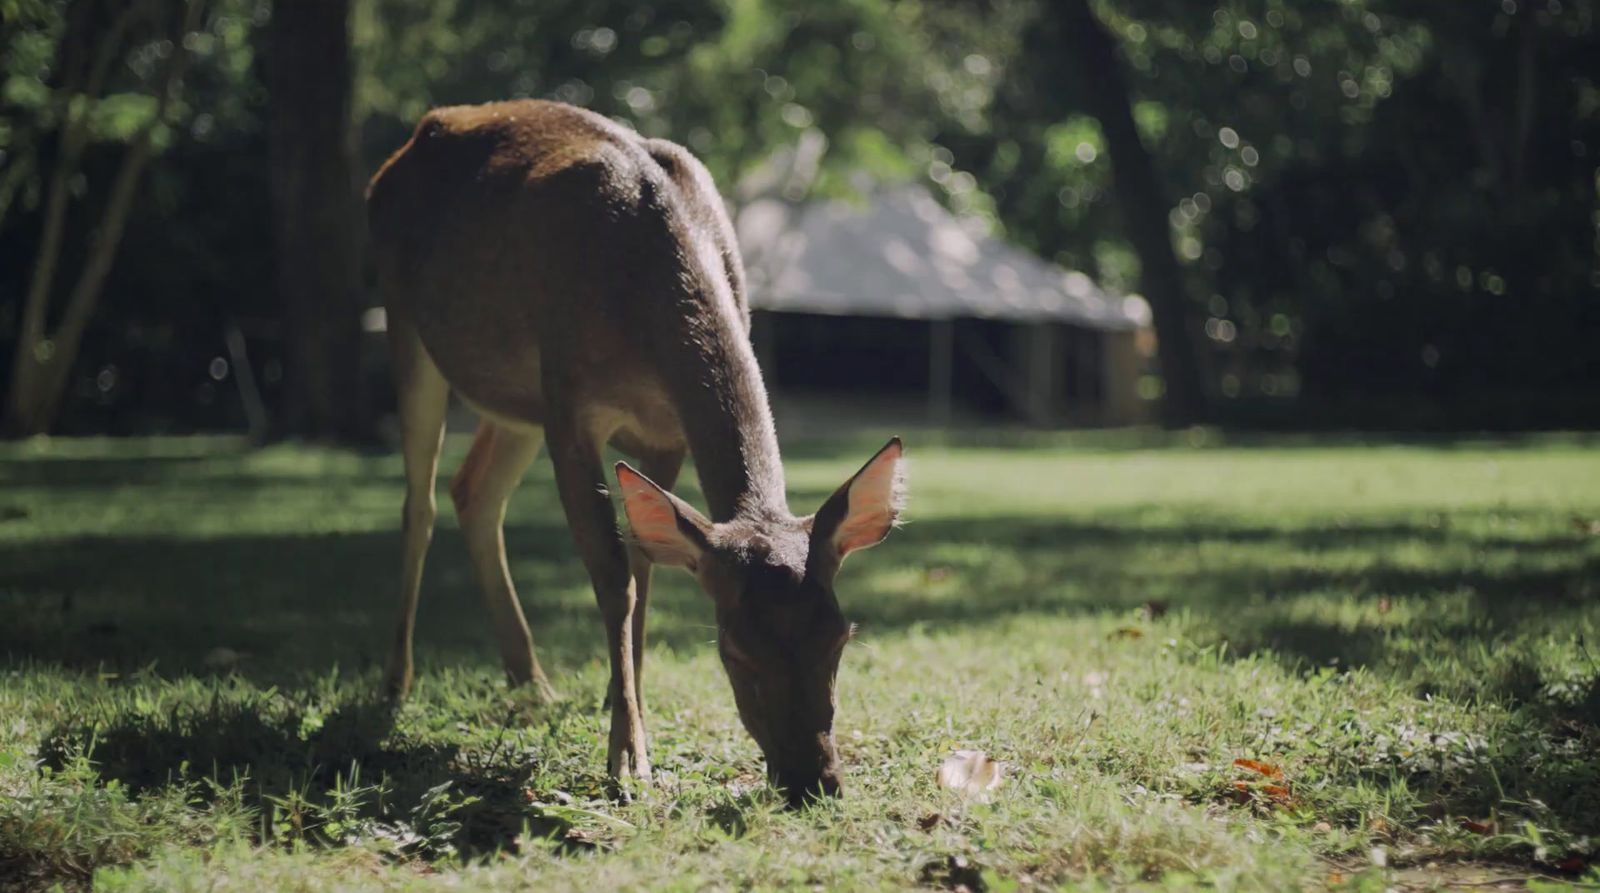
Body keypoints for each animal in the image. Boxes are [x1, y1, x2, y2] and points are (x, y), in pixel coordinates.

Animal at [366, 101, 908, 809]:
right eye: (735, 652)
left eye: (841, 637)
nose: (815, 781)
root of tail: (391, 160)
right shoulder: (570, 404)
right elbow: (613, 572)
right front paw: (627, 756)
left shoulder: (660, 435)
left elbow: (649, 563)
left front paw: (627, 707)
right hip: (408, 324)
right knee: (420, 504)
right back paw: (395, 683)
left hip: (516, 401)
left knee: (473, 491)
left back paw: (531, 680)